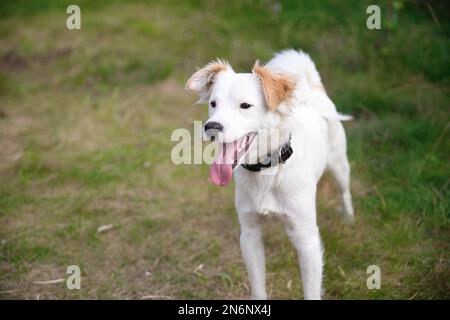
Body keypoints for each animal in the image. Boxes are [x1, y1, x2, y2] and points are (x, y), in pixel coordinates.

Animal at [185, 49, 354, 300]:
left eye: (245, 105)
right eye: (213, 104)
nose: (211, 127)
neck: (267, 170)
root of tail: (313, 89)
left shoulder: (307, 239)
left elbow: (311, 290)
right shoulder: (250, 234)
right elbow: (258, 287)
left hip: (340, 166)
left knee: (345, 193)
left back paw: (349, 219)